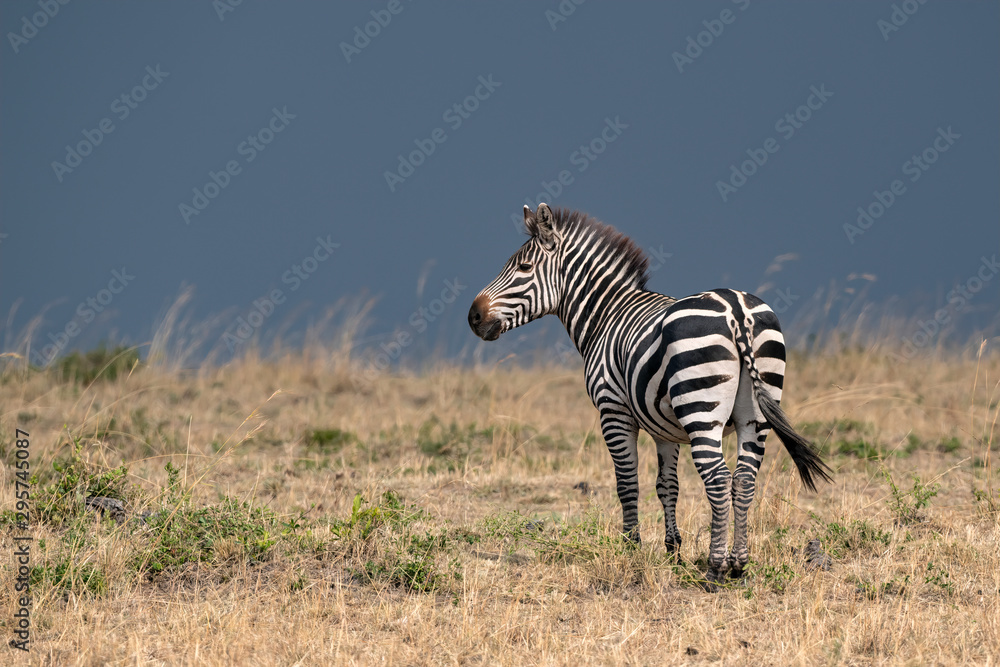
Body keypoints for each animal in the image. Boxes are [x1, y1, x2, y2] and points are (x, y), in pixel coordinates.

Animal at [468, 203, 832, 589]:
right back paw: (739, 565)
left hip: (701, 411)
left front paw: (632, 549)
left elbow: (627, 484)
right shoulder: (663, 428)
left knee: (718, 479)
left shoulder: (613, 412)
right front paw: (673, 551)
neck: (605, 316)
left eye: (523, 267)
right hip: (757, 414)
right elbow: (667, 485)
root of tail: (736, 310)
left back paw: (715, 569)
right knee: (744, 479)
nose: (473, 316)